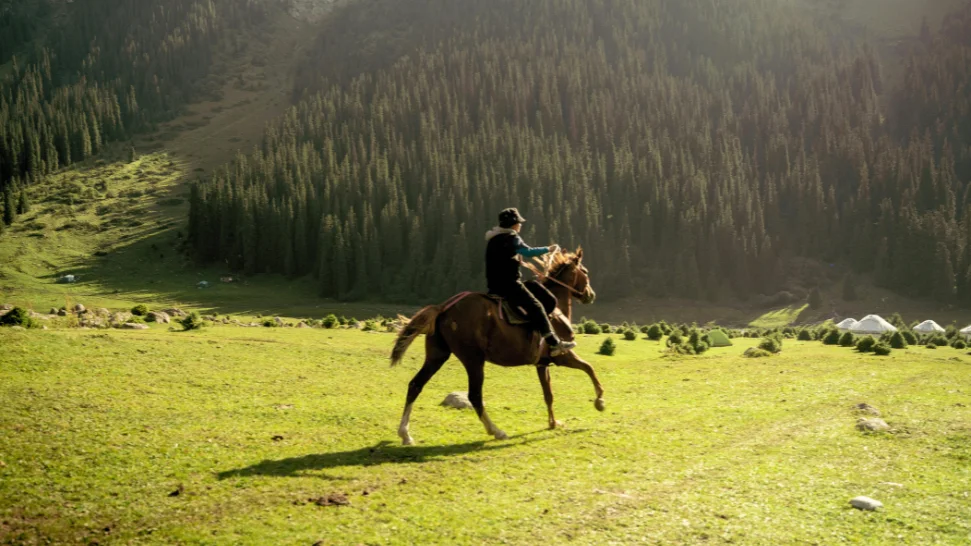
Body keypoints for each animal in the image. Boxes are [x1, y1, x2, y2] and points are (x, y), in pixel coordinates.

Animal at [390, 247, 605, 445]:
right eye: (585, 271)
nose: (591, 294)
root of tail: (443, 308)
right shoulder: (563, 356)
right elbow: (589, 368)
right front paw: (600, 401)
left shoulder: (542, 364)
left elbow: (548, 394)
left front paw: (553, 422)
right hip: (473, 360)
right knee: (475, 395)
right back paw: (496, 431)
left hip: (437, 356)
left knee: (416, 385)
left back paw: (405, 434)